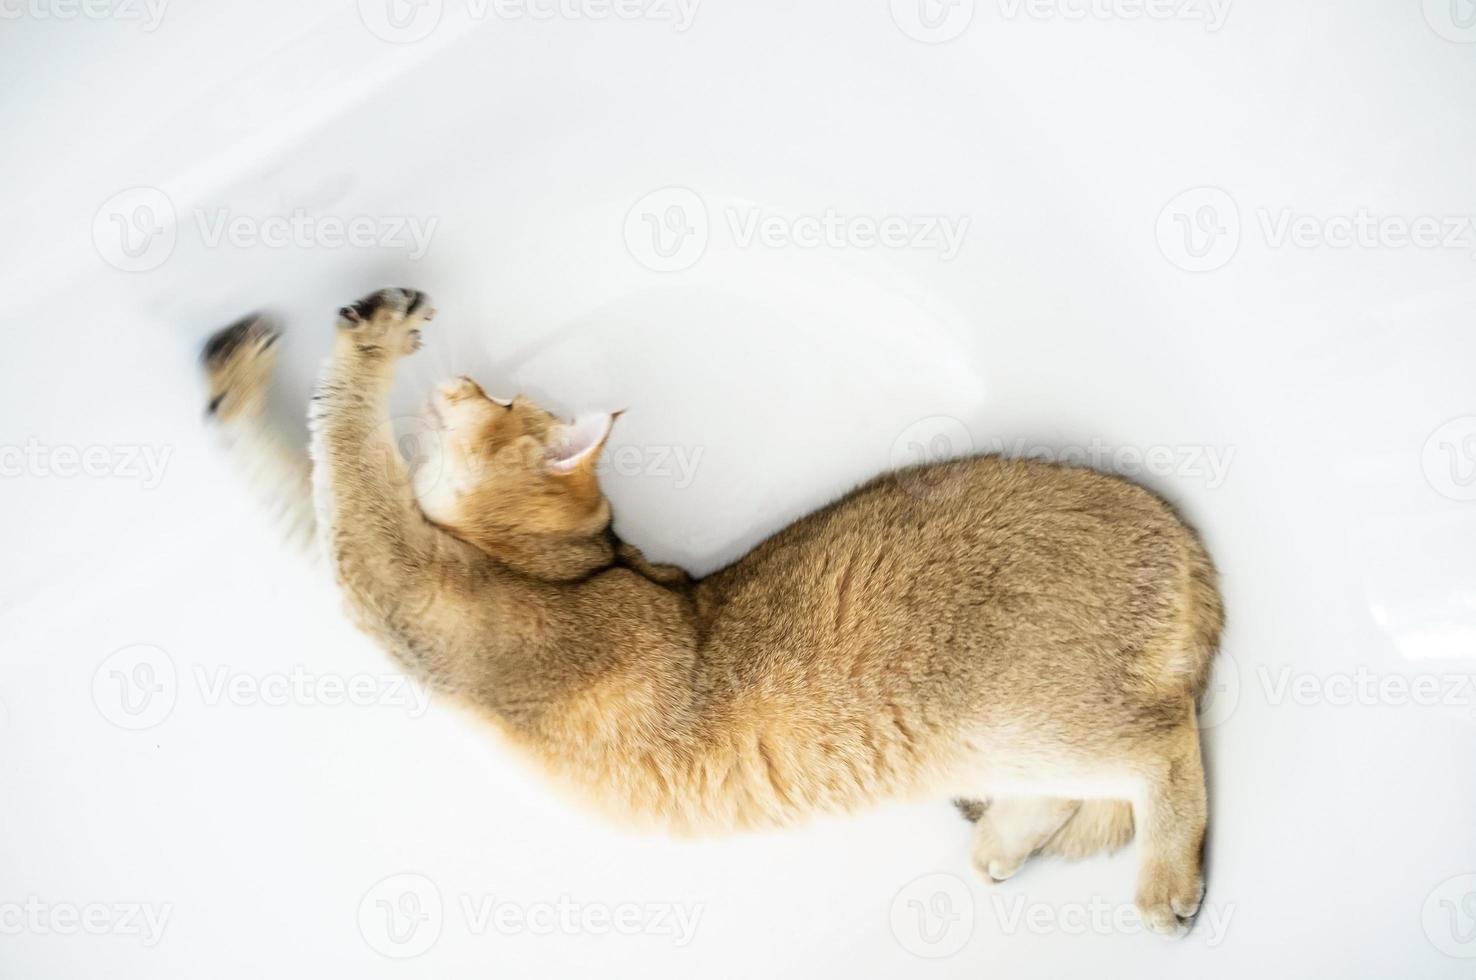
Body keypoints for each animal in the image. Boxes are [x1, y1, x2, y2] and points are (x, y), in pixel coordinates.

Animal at [205, 287, 1222, 938]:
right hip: (992, 741)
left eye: (502, 399)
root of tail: (1177, 531)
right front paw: (236, 386)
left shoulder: (404, 591)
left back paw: (1165, 882)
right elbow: (312, 478)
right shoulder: (393, 581)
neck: (572, 563)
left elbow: (343, 457)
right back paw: (1001, 843)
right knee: (1082, 782)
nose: (460, 385)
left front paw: (370, 341)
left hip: (1019, 704)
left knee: (1161, 743)